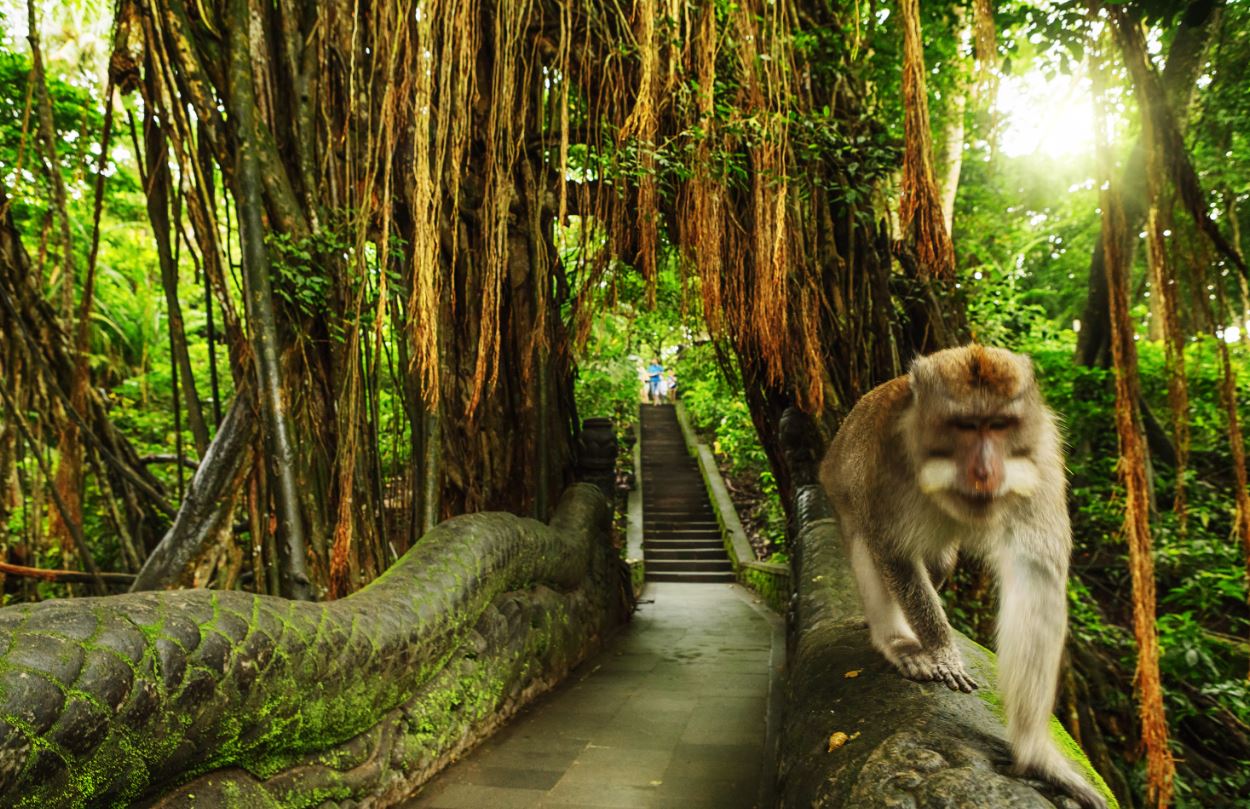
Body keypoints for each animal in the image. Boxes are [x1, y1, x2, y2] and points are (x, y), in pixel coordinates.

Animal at [825, 342, 1110, 809]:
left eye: (998, 425)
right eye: (964, 426)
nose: (985, 470)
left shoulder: (1042, 458)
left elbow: (1036, 575)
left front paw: (1035, 754)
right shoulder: (885, 461)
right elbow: (892, 550)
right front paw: (941, 649)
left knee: (939, 563)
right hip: (841, 494)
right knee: (869, 546)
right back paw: (898, 639)